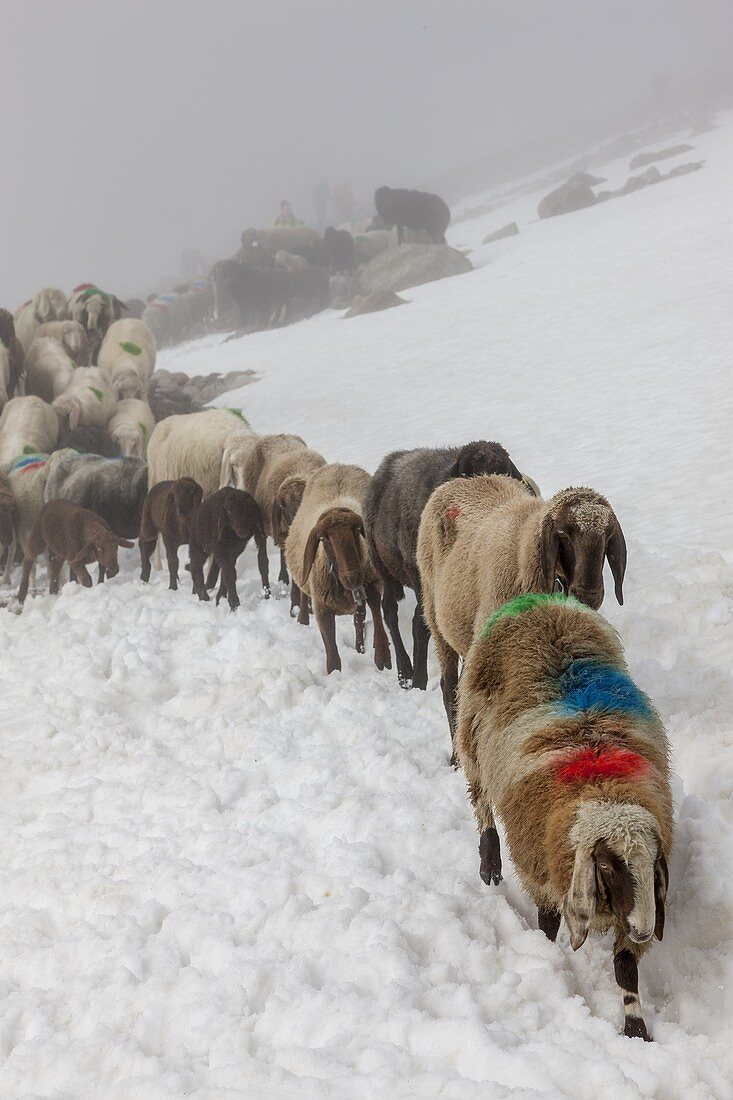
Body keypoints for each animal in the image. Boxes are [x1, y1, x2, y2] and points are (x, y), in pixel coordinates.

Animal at [281, 462, 391, 673]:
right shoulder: (322, 608)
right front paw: (334, 674)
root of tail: (340, 465)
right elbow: (331, 651)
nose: (352, 577)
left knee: (359, 618)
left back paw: (360, 647)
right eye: (324, 538)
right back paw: (302, 619)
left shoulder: (371, 582)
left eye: (357, 530)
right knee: (303, 593)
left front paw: (382, 656)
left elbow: (375, 614)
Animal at [365, 435, 530, 686]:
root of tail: (388, 462)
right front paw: (419, 679)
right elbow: (421, 624)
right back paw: (405, 672)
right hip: (385, 567)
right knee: (391, 612)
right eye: (467, 472)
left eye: (502, 469)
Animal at [413, 473, 625, 748]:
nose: (589, 594)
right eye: (562, 533)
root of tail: (462, 479)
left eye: (607, 537)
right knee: (448, 685)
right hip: (434, 614)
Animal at [453, 589, 669, 1034]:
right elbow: (549, 923)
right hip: (471, 731)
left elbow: (626, 967)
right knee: (480, 800)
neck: (602, 786)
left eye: (653, 862)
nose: (644, 932)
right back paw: (489, 860)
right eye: (604, 866)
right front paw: (547, 957)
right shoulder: (542, 871)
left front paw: (635, 1028)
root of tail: (538, 598)